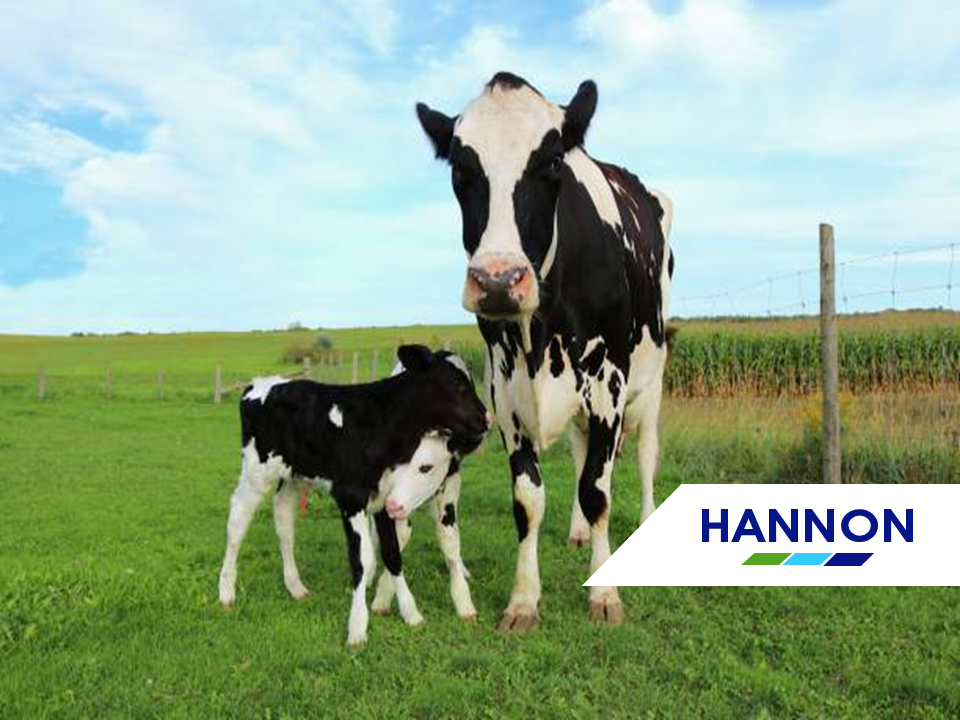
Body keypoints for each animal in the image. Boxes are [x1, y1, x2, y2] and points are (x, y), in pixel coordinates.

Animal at [217, 345, 489, 647]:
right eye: (457, 384)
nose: (485, 418)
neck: (381, 424)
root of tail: (260, 383)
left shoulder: (385, 499)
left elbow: (392, 554)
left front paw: (410, 613)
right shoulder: (351, 498)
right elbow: (362, 559)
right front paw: (357, 627)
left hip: (294, 476)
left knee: (284, 523)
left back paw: (295, 586)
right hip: (256, 472)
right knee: (237, 521)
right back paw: (226, 591)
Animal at [416, 72, 674, 630]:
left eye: (552, 162)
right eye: (460, 169)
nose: (497, 280)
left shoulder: (609, 382)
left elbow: (599, 489)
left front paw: (605, 594)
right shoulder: (504, 388)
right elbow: (529, 500)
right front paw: (523, 600)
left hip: (652, 377)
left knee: (644, 454)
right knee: (581, 452)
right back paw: (576, 531)